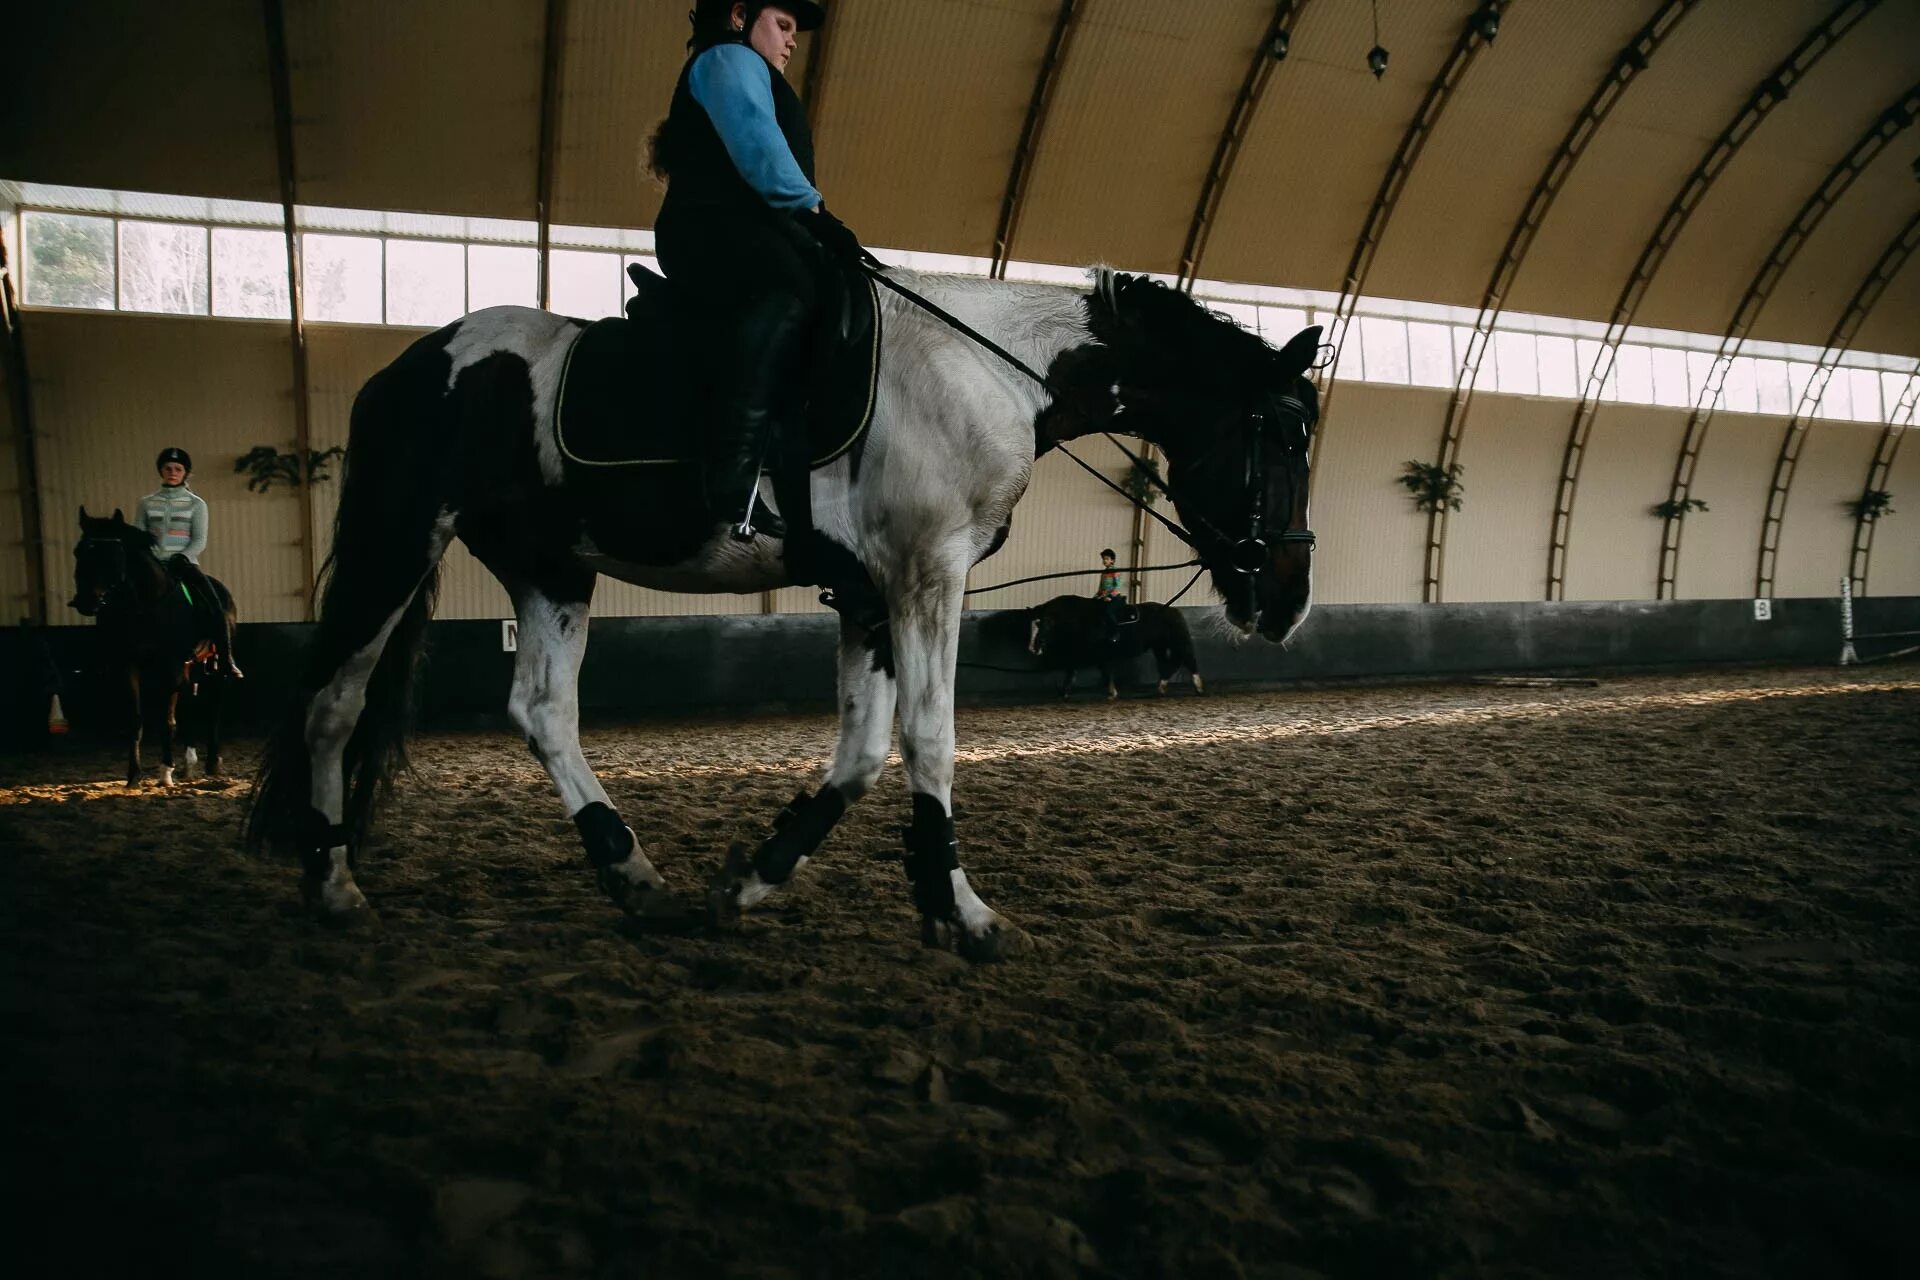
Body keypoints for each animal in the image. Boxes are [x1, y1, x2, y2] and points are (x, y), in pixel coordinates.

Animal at [71, 506, 238, 786]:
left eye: (113, 555)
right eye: (78, 551)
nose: (86, 602)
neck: (144, 606)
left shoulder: (169, 667)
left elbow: (166, 720)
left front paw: (166, 772)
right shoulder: (128, 666)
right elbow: (135, 720)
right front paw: (133, 776)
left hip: (213, 664)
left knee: (214, 705)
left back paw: (212, 763)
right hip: (191, 663)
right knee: (189, 702)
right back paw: (189, 763)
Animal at [1021, 598, 1198, 706]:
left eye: (1042, 625)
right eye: (1031, 625)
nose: (1032, 648)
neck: (1077, 618)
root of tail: (1174, 611)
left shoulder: (1100, 655)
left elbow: (1105, 673)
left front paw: (1112, 693)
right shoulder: (1077, 654)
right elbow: (1071, 673)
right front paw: (1063, 693)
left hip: (1178, 642)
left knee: (1188, 659)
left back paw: (1198, 686)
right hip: (1159, 646)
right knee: (1168, 663)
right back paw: (1161, 687)